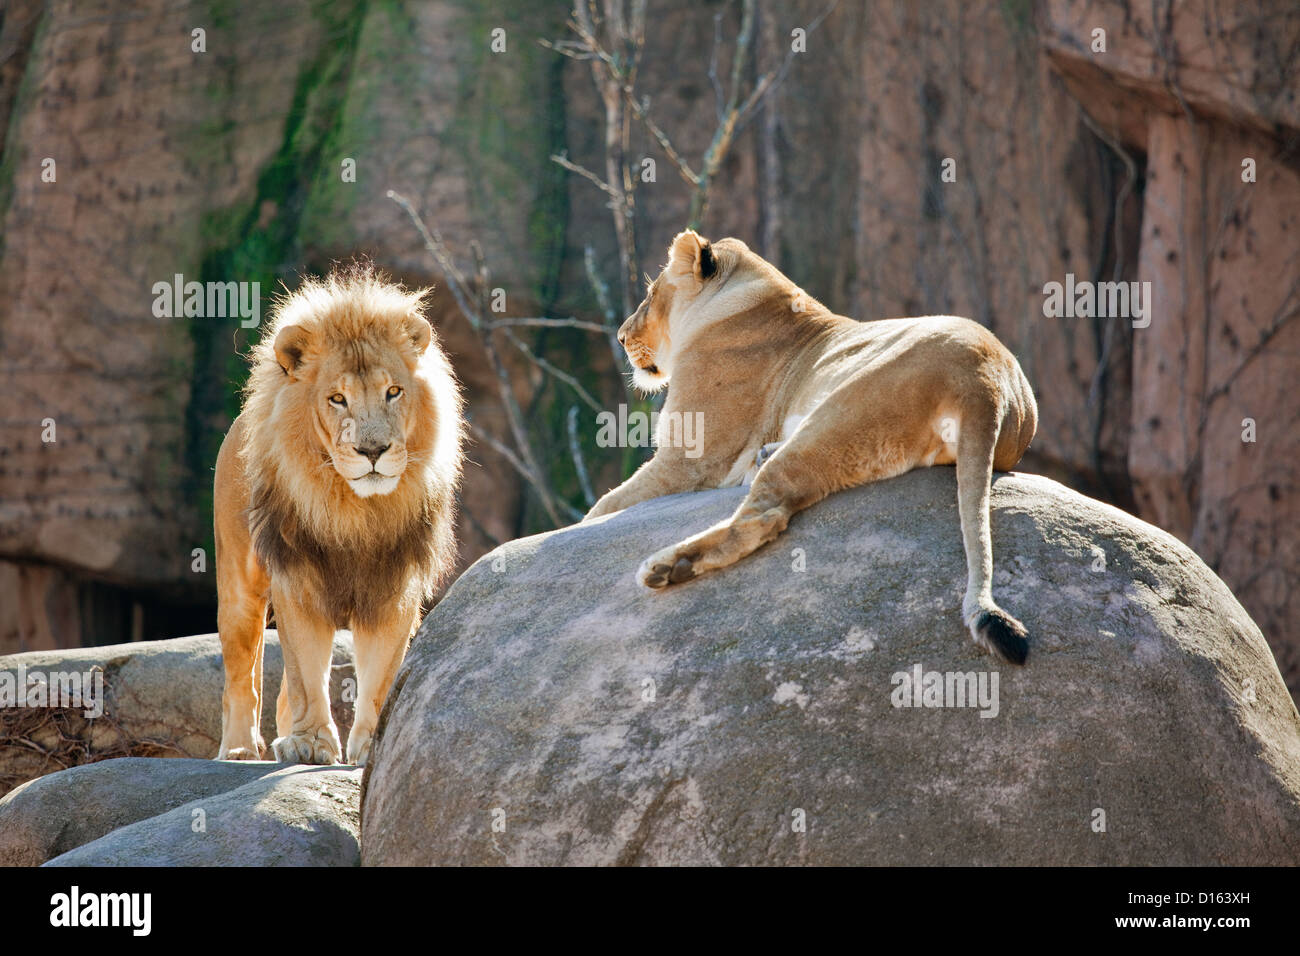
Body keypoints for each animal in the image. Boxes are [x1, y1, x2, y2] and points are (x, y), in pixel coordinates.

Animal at [210, 265, 460, 764]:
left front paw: (371, 743)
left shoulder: (395, 585)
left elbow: (380, 673)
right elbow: (306, 671)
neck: (355, 509)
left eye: (393, 392)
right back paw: (240, 749)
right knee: (242, 674)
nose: (373, 450)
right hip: (239, 585)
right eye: (337, 399)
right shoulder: (297, 575)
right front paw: (309, 743)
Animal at [587, 232, 1034, 665]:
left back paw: (667, 567)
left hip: (838, 413)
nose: (621, 336)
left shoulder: (690, 460)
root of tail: (988, 381)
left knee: (763, 518)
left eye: (650, 295)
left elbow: (603, 508)